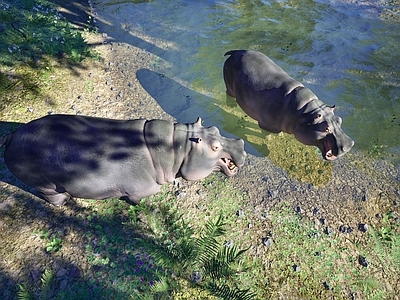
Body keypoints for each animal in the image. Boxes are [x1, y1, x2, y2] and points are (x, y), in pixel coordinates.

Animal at [0, 113, 247, 205]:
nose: (241, 145)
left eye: (215, 128)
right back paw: (65, 202)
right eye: (215, 147)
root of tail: (11, 135)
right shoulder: (139, 191)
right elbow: (136, 200)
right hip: (45, 184)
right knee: (51, 195)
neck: (175, 147)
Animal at [223, 50, 354, 161]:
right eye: (326, 128)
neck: (304, 112)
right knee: (228, 94)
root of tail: (236, 51)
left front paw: (280, 135)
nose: (349, 145)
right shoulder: (265, 124)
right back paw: (231, 106)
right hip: (229, 87)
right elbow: (266, 134)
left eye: (339, 120)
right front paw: (269, 140)